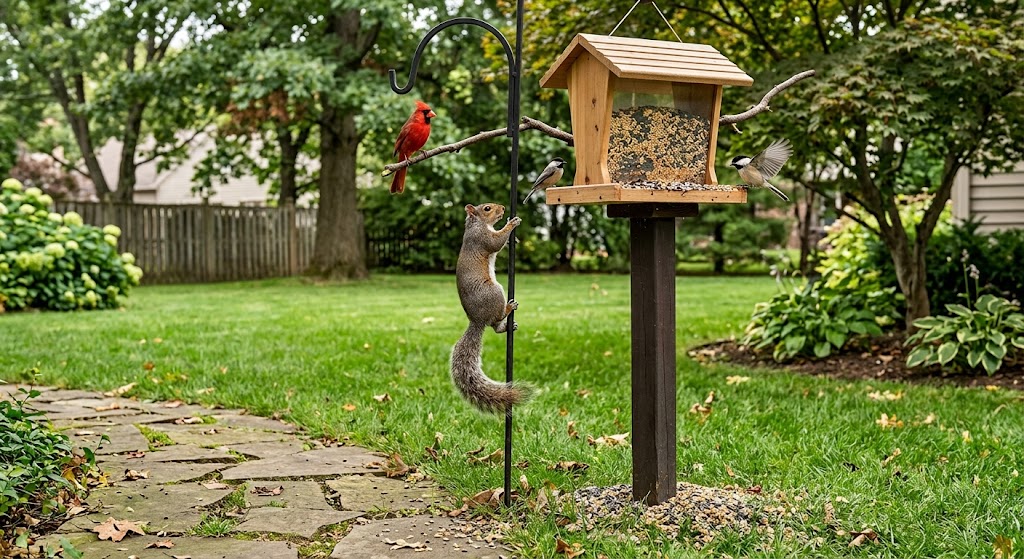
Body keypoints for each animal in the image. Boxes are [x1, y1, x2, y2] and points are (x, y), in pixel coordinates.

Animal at [451, 203, 534, 414]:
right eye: (487, 208)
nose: (503, 208)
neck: (477, 224)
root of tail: (477, 320)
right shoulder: (482, 238)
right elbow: (496, 242)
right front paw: (512, 224)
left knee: (495, 326)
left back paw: (506, 326)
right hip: (495, 291)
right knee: (496, 316)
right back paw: (509, 307)